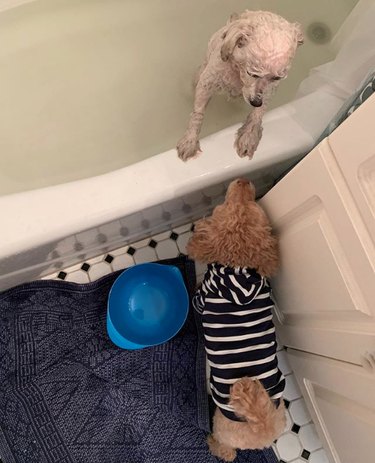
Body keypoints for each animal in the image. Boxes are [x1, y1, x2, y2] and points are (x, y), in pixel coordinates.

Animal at [178, 10, 304, 162]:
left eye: (276, 78)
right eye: (252, 73)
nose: (256, 102)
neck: (238, 70)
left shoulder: (270, 90)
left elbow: (258, 113)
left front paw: (249, 136)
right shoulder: (207, 83)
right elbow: (198, 113)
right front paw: (190, 140)